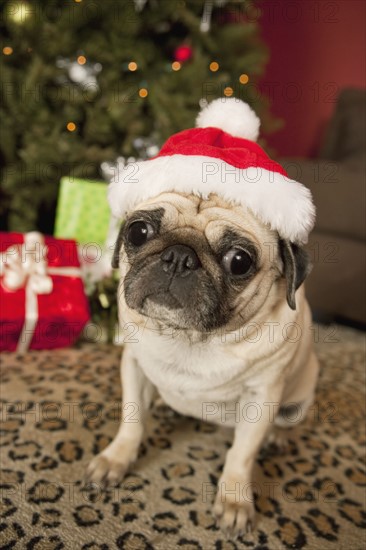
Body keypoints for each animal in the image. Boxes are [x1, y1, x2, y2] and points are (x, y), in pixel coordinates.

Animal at [86, 97, 318, 536]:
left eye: (240, 261)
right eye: (138, 232)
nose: (179, 256)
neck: (191, 339)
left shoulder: (261, 396)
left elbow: (242, 454)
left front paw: (234, 500)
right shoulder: (133, 367)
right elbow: (132, 420)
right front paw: (116, 459)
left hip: (299, 398)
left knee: (284, 423)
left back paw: (278, 438)